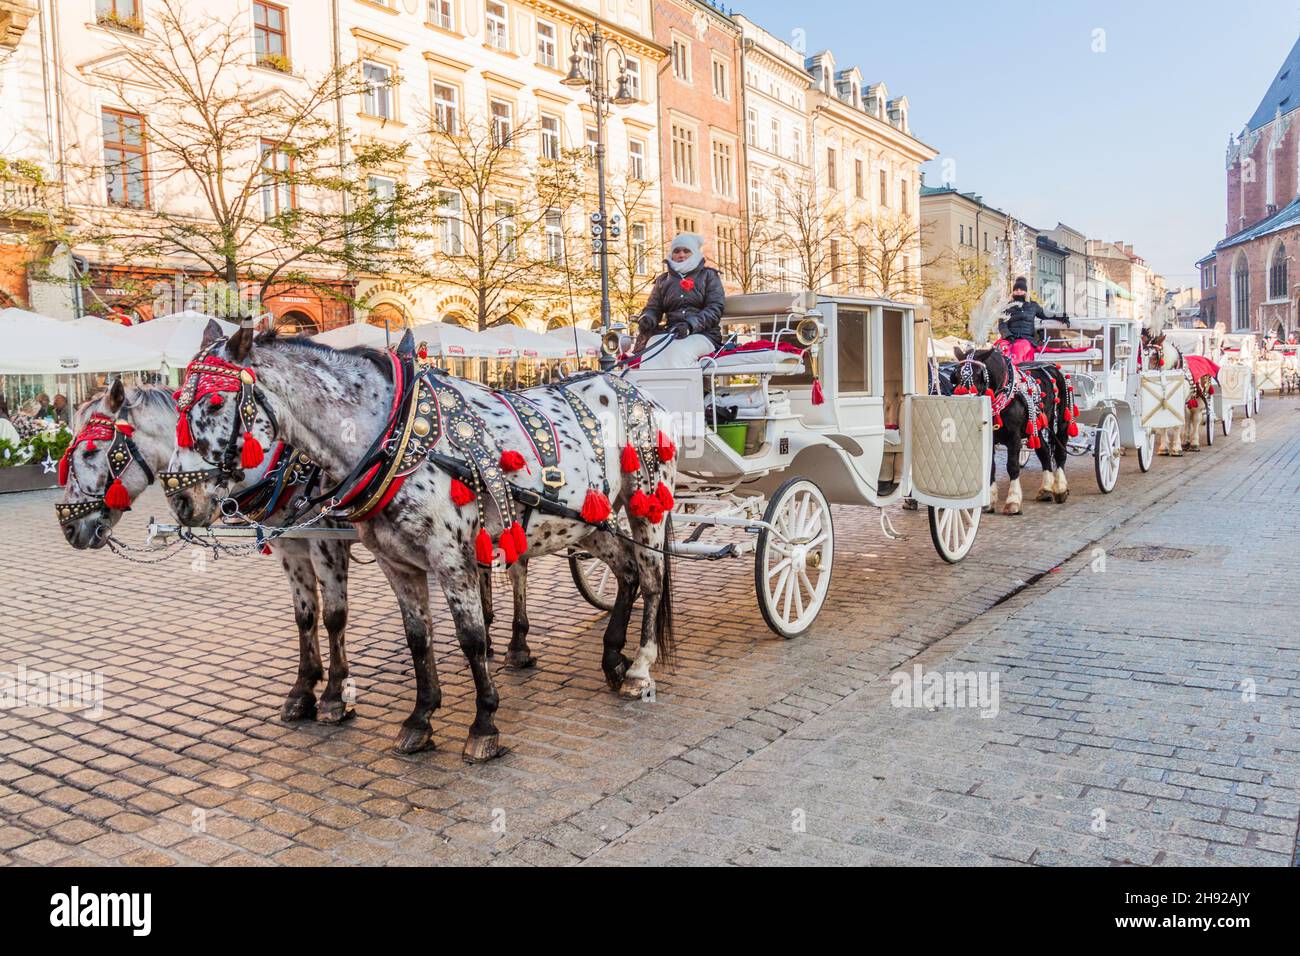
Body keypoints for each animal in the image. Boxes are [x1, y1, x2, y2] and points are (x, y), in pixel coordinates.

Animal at [57, 377, 356, 723]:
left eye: (91, 451)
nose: (68, 527)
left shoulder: (327, 542)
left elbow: (334, 616)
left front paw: (335, 694)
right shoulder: (290, 547)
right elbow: (305, 616)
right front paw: (303, 689)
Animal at [166, 325, 676, 759]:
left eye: (214, 402)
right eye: (175, 403)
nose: (179, 499)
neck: (391, 438)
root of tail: (639, 392)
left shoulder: (445, 557)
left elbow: (469, 638)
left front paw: (483, 725)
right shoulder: (394, 563)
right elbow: (414, 637)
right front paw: (420, 717)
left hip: (646, 500)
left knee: (652, 578)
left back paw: (639, 669)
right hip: (589, 521)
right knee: (627, 571)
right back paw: (611, 657)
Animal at [946, 348, 1076, 515]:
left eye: (978, 374)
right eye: (955, 375)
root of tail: (1054, 367)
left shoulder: (1014, 437)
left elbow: (1012, 466)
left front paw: (1013, 501)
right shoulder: (990, 438)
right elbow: (991, 467)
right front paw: (990, 501)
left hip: (1062, 420)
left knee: (1060, 453)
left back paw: (1060, 488)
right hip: (1035, 427)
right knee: (1044, 452)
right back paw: (1046, 489)